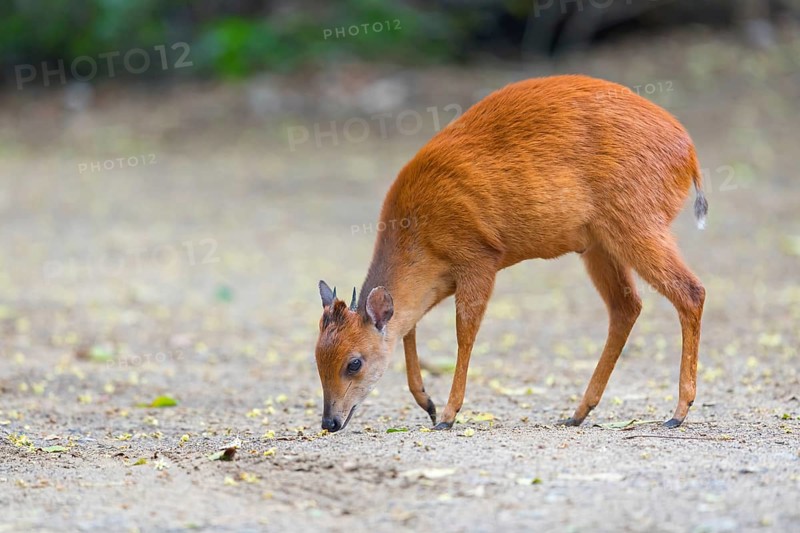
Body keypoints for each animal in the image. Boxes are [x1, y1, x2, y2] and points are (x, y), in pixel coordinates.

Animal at [314, 75, 707, 432]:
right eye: (317, 358)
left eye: (354, 363)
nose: (330, 422)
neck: (418, 235)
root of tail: (690, 154)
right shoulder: (439, 281)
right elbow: (408, 325)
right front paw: (428, 404)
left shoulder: (479, 257)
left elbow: (464, 331)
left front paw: (447, 415)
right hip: (599, 243)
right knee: (627, 307)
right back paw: (578, 412)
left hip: (636, 222)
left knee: (690, 291)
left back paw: (678, 412)